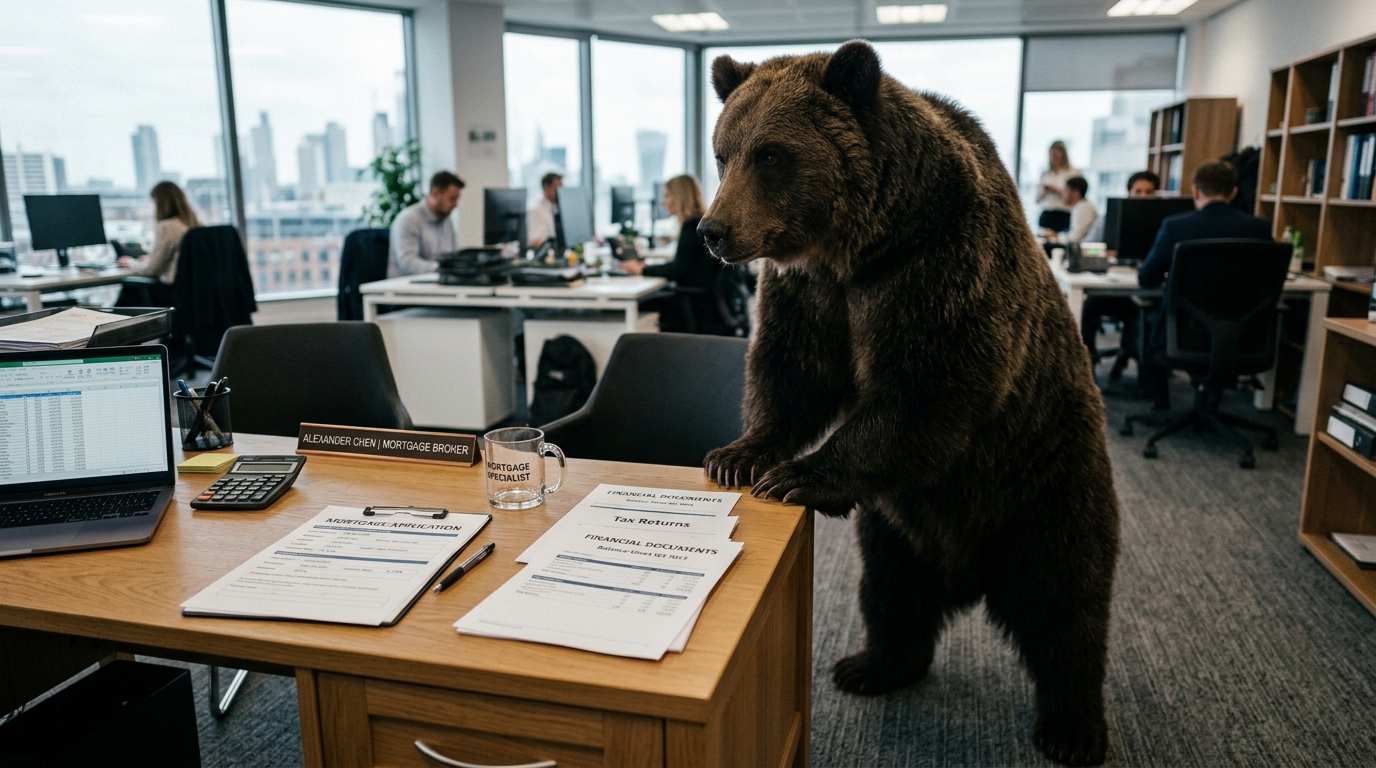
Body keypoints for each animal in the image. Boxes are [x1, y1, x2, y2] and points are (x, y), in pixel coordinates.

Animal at [699, 41, 1121, 767]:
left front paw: (796, 475)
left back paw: (1072, 729)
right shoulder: (811, 292)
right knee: (892, 591)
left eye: (772, 154)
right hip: (896, 523)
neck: (856, 245)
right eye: (724, 151)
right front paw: (739, 454)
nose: (714, 229)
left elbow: (928, 386)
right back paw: (870, 665)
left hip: (1047, 485)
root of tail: (970, 573)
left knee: (1065, 606)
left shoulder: (934, 267)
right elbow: (791, 372)